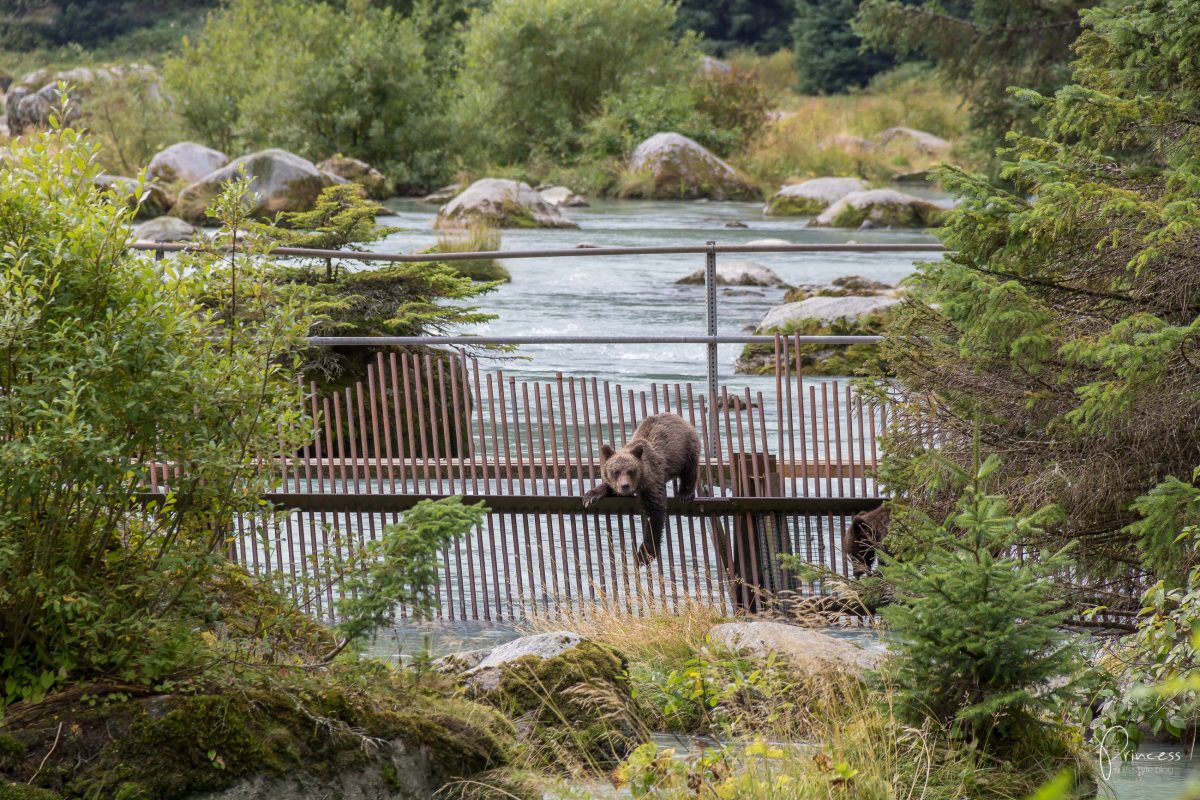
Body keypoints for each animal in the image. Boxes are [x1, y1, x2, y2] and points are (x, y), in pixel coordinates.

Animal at [583, 417, 700, 566]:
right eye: (616, 472)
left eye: (631, 471)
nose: (625, 486)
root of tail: (678, 418)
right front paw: (591, 495)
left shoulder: (652, 481)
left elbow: (654, 514)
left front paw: (644, 553)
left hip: (686, 448)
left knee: (689, 470)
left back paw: (685, 494)